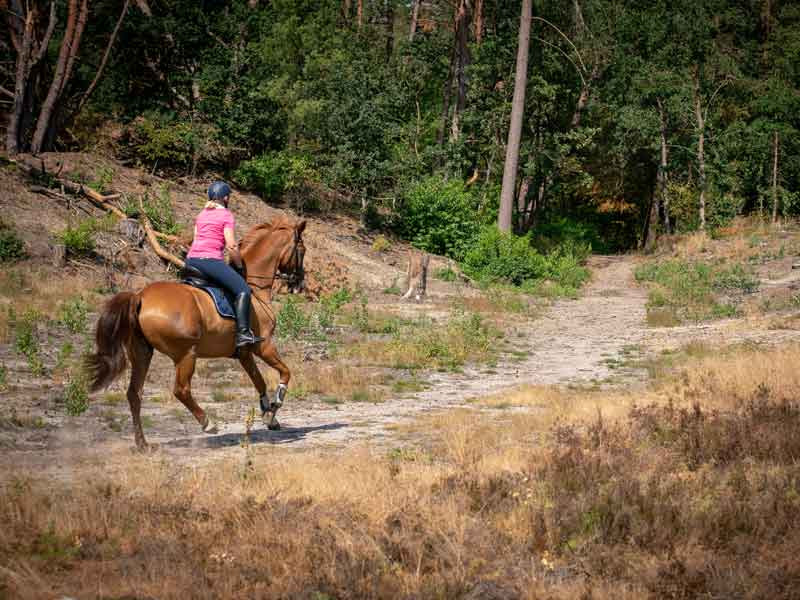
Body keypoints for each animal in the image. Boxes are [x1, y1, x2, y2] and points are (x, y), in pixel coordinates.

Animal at [86, 215, 306, 449]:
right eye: (302, 250)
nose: (300, 284)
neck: (255, 290)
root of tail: (140, 297)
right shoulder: (263, 346)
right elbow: (285, 373)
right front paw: (275, 407)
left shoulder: (244, 353)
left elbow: (259, 381)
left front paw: (268, 415)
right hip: (186, 354)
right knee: (181, 390)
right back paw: (208, 423)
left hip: (142, 353)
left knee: (134, 393)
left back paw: (143, 444)